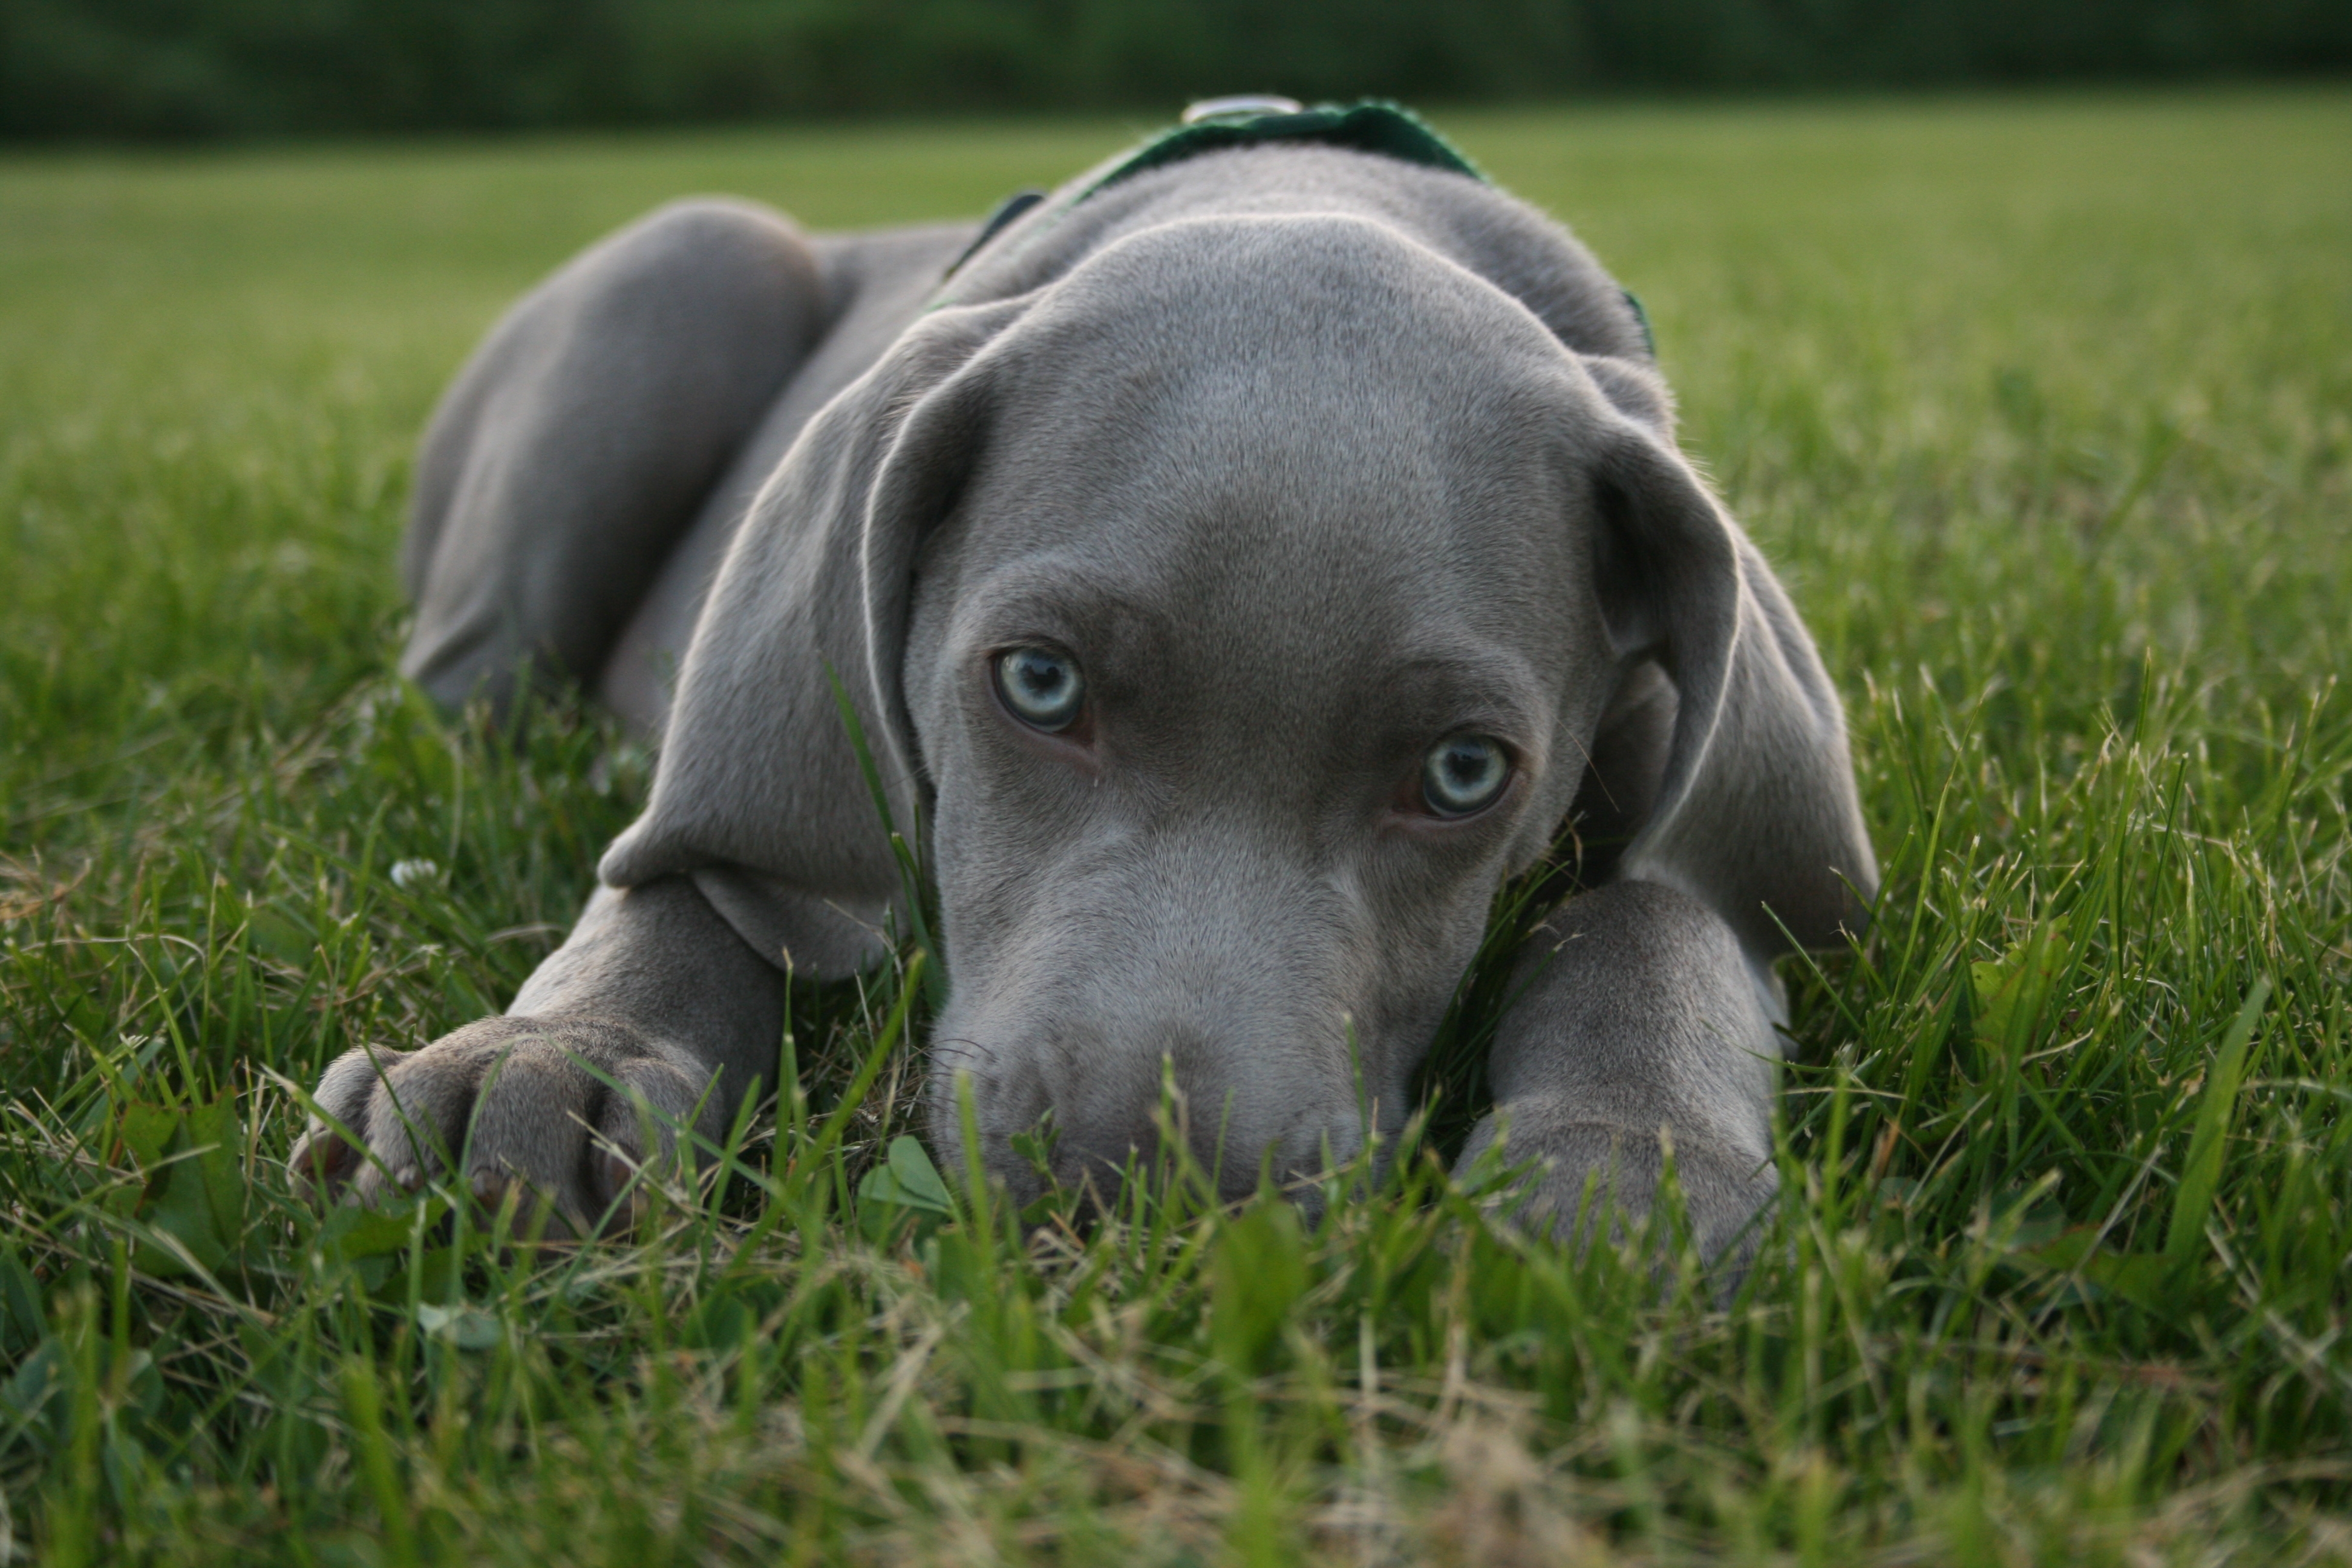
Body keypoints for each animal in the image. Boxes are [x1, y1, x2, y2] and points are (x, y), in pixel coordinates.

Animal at [294, 101, 1872, 1279]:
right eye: (1039, 684)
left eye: (1463, 774)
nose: (1136, 1192)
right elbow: (695, 873)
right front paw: (545, 1065)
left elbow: (1670, 907)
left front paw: (1624, 1165)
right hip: (681, 269)